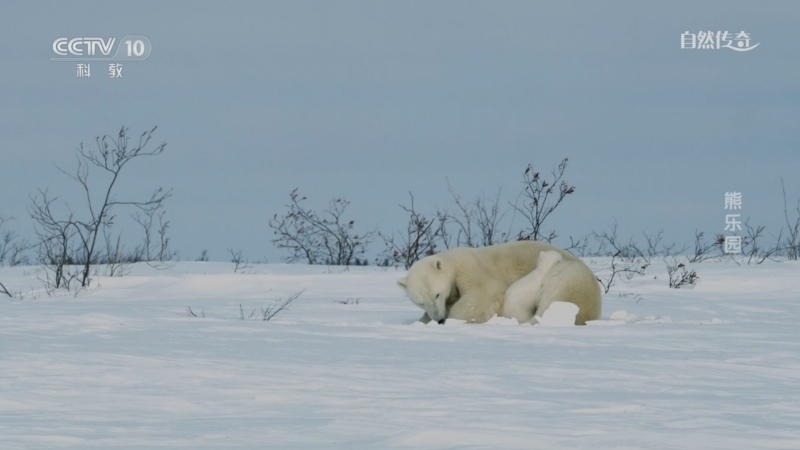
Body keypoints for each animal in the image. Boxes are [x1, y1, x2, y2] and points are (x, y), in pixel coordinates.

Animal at [396, 241, 601, 325]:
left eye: (437, 294)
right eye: (420, 302)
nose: (438, 319)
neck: (452, 261)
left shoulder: (470, 267)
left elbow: (485, 291)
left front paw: (453, 319)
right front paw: (424, 320)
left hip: (571, 277)